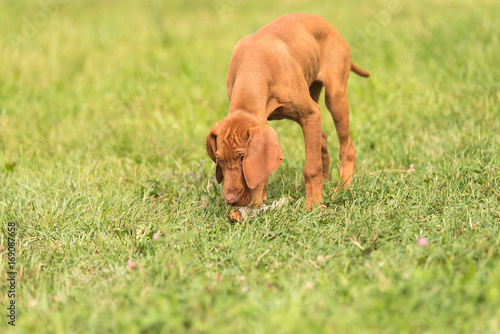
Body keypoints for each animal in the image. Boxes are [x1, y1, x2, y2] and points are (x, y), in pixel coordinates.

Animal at [205, 13, 370, 209]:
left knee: (347, 147)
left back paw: (343, 186)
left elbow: (311, 168)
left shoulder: (310, 114)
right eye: (220, 160)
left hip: (335, 98)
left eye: (243, 158)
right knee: (321, 138)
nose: (230, 201)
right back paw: (326, 181)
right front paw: (260, 199)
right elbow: (262, 171)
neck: (253, 66)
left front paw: (314, 204)